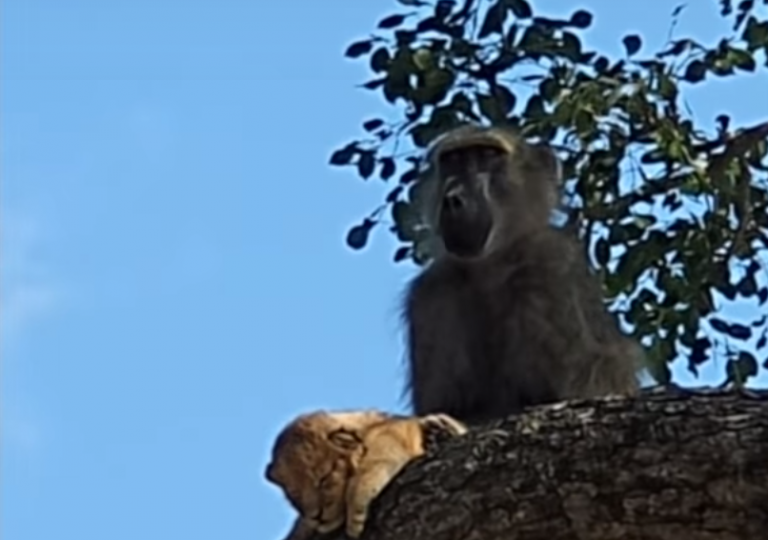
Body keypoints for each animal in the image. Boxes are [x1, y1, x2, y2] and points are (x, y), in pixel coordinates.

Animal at [264, 409, 467, 539]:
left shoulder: (395, 430)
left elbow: (380, 453)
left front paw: (356, 509)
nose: (317, 517)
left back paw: (439, 430)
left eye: (324, 478)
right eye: (294, 494)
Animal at [402, 124, 643, 424]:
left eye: (487, 155)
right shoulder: (432, 292)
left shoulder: (548, 261)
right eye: (453, 160)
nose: (454, 198)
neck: (491, 267)